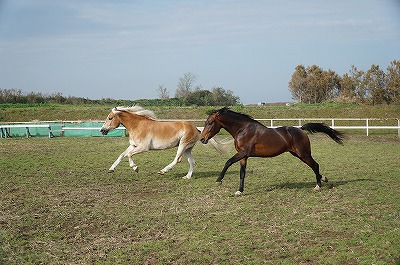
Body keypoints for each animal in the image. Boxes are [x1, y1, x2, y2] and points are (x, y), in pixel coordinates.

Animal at [200, 106, 344, 195]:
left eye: (210, 122)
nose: (202, 139)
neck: (243, 130)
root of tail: (301, 129)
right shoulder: (244, 156)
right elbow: (242, 173)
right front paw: (239, 191)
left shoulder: (243, 153)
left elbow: (228, 162)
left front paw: (219, 180)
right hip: (297, 154)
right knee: (314, 165)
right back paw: (324, 179)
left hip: (303, 153)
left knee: (315, 165)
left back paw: (318, 186)